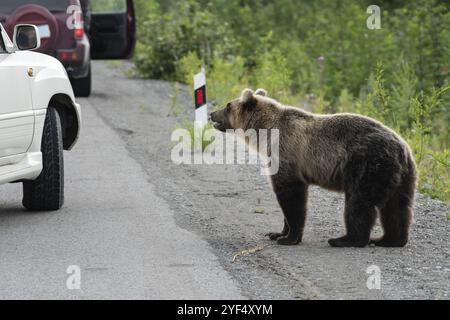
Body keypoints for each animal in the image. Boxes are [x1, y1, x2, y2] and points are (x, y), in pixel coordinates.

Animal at [209, 89, 416, 249]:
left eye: (228, 105)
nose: (212, 113)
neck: (264, 133)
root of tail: (402, 148)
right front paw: (277, 233)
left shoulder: (286, 154)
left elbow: (292, 197)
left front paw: (289, 238)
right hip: (400, 175)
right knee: (397, 207)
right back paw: (388, 240)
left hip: (366, 165)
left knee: (359, 203)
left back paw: (345, 240)